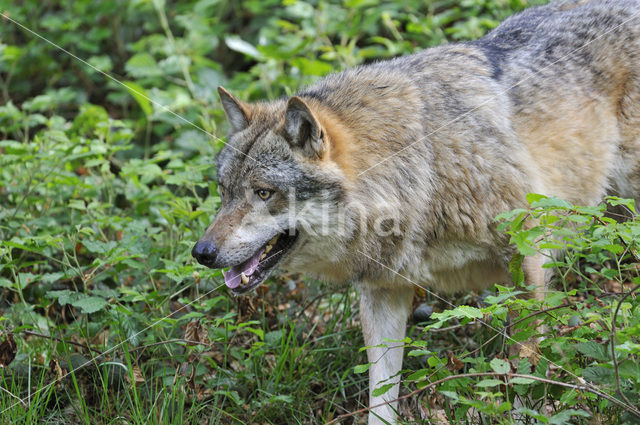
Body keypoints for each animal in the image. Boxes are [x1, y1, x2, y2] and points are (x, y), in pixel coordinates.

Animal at [191, 1, 640, 422]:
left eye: (263, 193)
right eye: (224, 191)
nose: (201, 253)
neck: (422, 168)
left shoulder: (526, 260)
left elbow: (524, 371)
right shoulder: (383, 291)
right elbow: (381, 394)